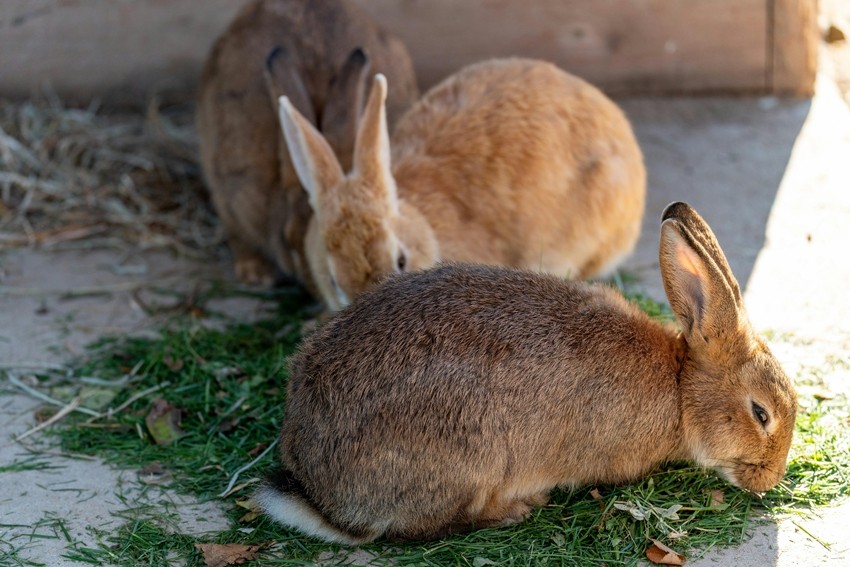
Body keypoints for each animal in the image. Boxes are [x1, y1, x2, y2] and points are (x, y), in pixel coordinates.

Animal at [255, 202, 798, 544]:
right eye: (760, 413)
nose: (769, 480)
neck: (680, 388)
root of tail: (320, 493)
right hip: (469, 458)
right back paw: (517, 508)